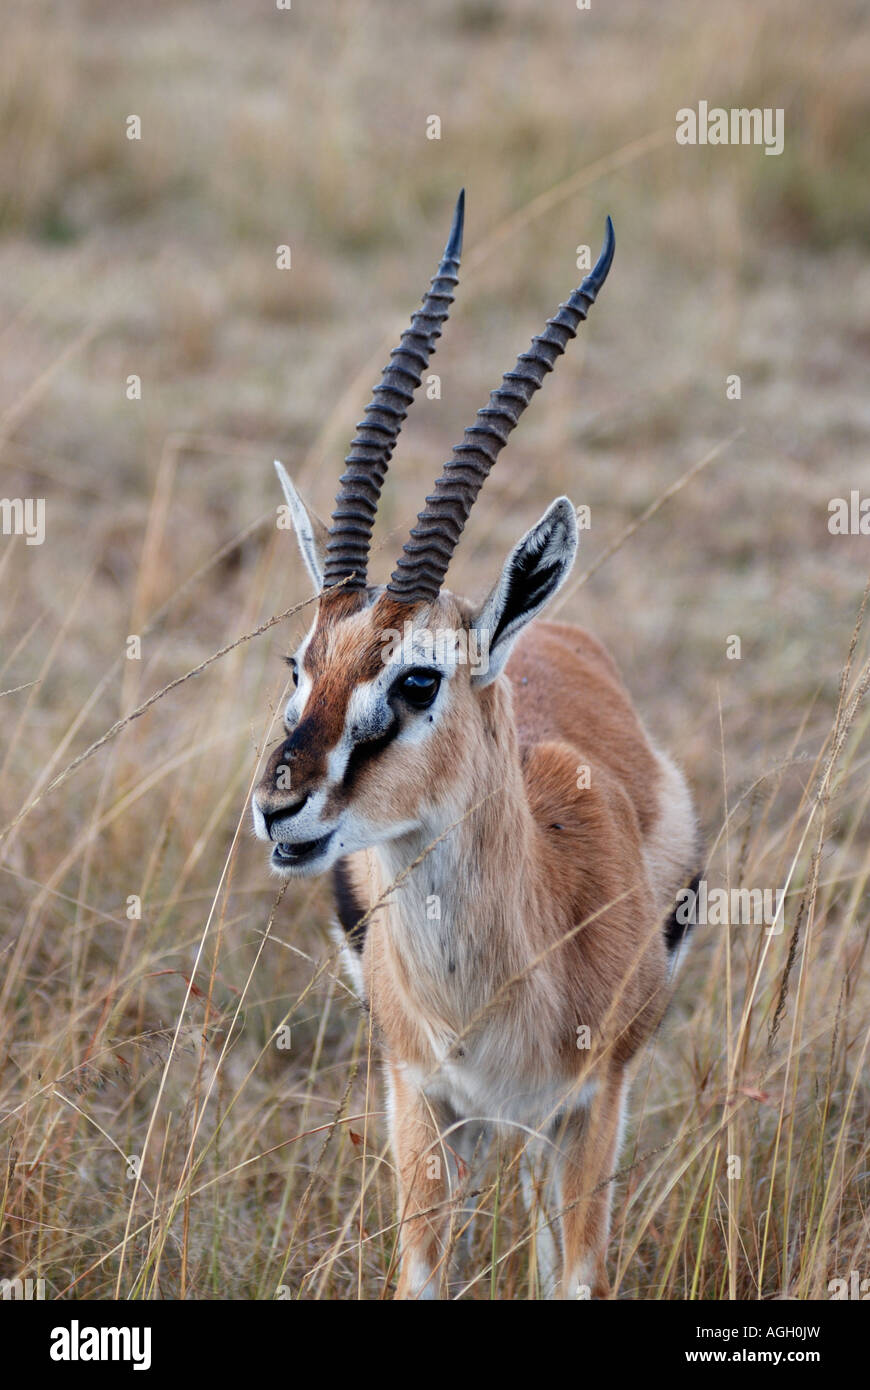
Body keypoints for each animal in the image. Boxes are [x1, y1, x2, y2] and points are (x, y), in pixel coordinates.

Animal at [252, 192, 700, 1299]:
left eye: (420, 679)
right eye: (299, 664)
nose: (279, 808)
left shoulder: (588, 1111)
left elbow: (573, 1279)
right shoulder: (422, 1103)